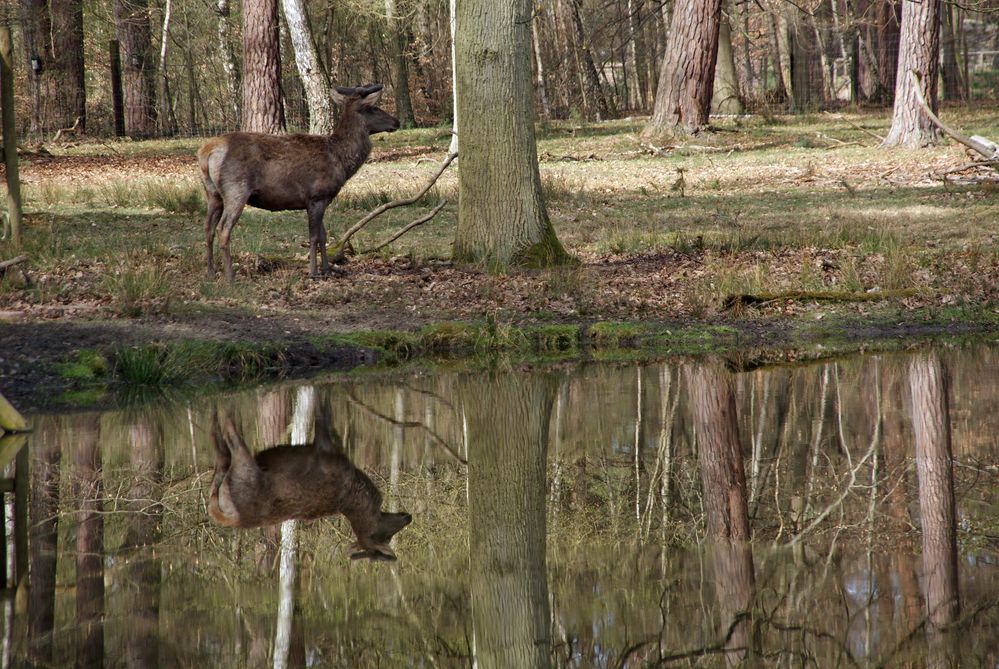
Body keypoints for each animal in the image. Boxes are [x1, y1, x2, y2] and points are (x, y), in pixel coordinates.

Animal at [197, 84, 400, 282]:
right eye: (373, 108)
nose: (396, 121)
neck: (341, 162)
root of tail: (207, 152)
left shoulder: (321, 200)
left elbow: (323, 235)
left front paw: (327, 271)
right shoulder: (316, 196)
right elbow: (313, 236)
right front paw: (313, 273)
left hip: (212, 193)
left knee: (208, 228)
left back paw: (210, 273)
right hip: (236, 190)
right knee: (223, 228)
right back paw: (230, 277)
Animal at [209, 402, 412, 564]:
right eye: (386, 537)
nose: (408, 517)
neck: (357, 489)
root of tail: (230, 516)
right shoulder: (325, 449)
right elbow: (323, 414)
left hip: (227, 472)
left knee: (221, 452)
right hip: (245, 469)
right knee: (229, 431)